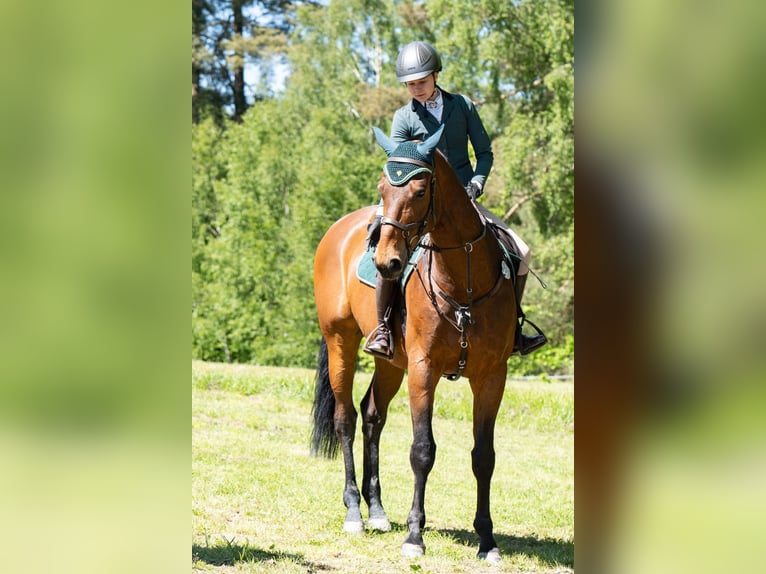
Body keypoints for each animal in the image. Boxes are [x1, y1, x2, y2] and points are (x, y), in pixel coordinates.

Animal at [311, 125, 518, 562]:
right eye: (382, 188)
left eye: (420, 191)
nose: (386, 261)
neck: (463, 277)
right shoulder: (424, 370)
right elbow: (422, 450)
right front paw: (414, 537)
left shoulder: (492, 376)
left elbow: (484, 456)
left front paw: (487, 540)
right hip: (341, 343)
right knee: (345, 418)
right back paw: (354, 512)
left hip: (391, 363)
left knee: (372, 415)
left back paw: (376, 511)